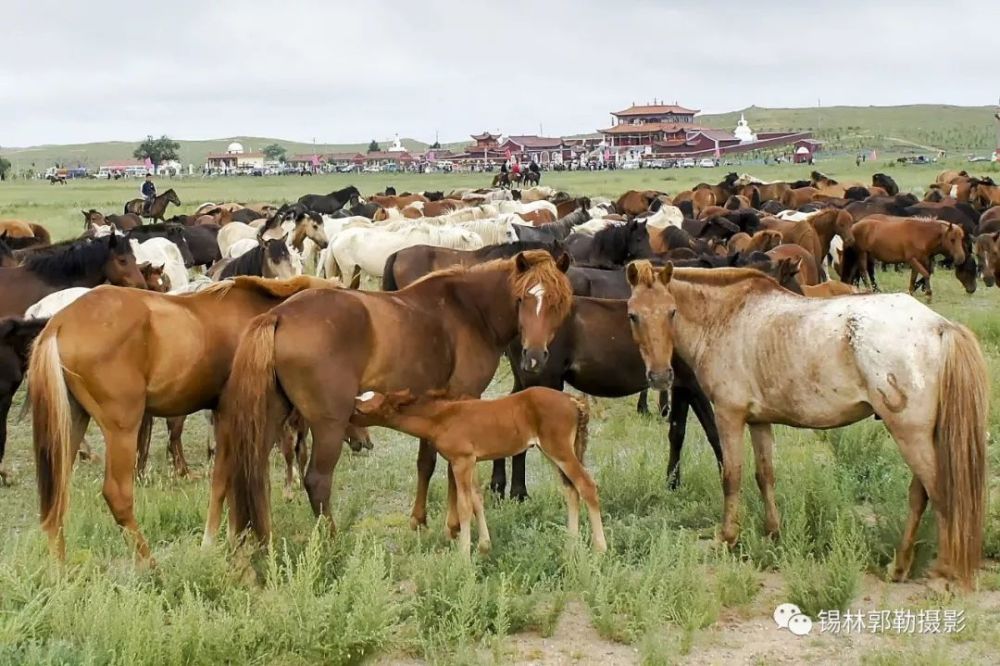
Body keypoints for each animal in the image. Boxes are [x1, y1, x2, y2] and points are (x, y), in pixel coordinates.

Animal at [28, 272, 340, 556]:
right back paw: (149, 565)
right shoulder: (230, 416)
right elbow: (224, 480)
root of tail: (58, 323)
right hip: (122, 428)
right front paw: (216, 542)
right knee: (117, 495)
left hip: (71, 425)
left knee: (55, 502)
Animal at [207, 249, 576, 544]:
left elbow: (426, 463)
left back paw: (261, 539)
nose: (534, 357)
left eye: (557, 302)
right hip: (328, 424)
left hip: (271, 415)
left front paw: (419, 520)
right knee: (317, 481)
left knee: (253, 473)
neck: (470, 310)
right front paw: (454, 526)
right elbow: (451, 470)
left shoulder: (434, 404)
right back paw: (331, 541)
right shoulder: (463, 399)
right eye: (523, 299)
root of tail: (279, 315)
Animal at [628, 260, 988, 588]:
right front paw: (773, 533)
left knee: (939, 491)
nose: (660, 377)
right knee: (920, 494)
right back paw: (899, 567)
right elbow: (764, 476)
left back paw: (942, 572)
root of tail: (939, 326)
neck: (727, 317)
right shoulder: (758, 421)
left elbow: (731, 477)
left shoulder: (730, 416)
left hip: (909, 434)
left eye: (672, 312)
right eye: (634, 315)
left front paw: (727, 538)